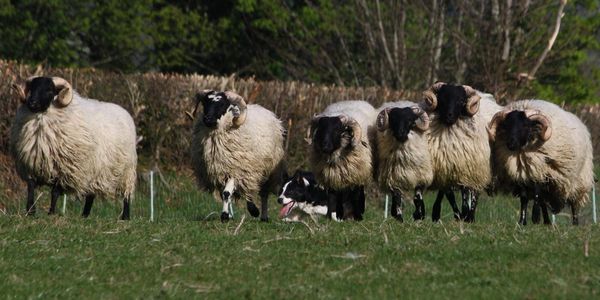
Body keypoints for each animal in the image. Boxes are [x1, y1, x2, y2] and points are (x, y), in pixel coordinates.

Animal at [11, 76, 138, 219]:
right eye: (31, 88)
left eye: (49, 90)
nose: (32, 102)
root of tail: (124, 111)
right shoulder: (30, 165)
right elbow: (31, 187)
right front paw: (30, 211)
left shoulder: (64, 169)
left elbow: (55, 192)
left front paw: (51, 213)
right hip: (95, 171)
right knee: (90, 195)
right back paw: (85, 215)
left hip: (127, 171)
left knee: (126, 195)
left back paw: (125, 217)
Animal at [192, 89, 286, 223]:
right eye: (205, 103)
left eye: (222, 105)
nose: (207, 118)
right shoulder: (219, 172)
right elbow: (224, 194)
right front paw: (227, 215)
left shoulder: (236, 170)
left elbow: (226, 193)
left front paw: (225, 216)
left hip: (264, 170)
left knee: (262, 193)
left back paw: (261, 215)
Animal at [422, 82, 502, 223]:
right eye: (442, 98)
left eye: (460, 101)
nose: (449, 116)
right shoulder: (445, 170)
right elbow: (449, 196)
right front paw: (454, 215)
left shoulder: (467, 171)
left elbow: (466, 196)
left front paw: (465, 216)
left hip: (479, 170)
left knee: (475, 193)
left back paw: (470, 216)